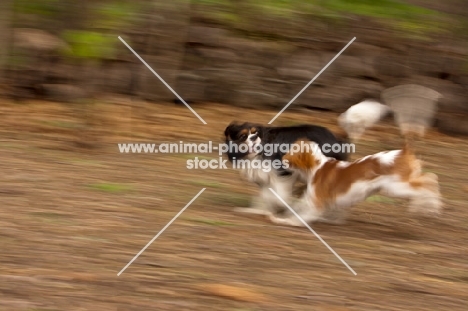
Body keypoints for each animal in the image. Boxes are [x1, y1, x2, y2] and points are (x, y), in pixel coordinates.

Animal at [224, 122, 352, 217]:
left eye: (256, 133)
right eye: (243, 136)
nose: (255, 137)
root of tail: (336, 138)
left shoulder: (284, 173)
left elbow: (278, 195)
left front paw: (280, 205)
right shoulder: (264, 177)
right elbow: (266, 195)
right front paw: (260, 210)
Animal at [266, 139, 442, 227]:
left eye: (289, 154)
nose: (281, 159)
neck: (317, 166)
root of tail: (403, 151)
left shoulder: (316, 204)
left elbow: (297, 218)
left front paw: (282, 220)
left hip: (397, 187)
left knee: (428, 182)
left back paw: (429, 206)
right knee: (431, 177)